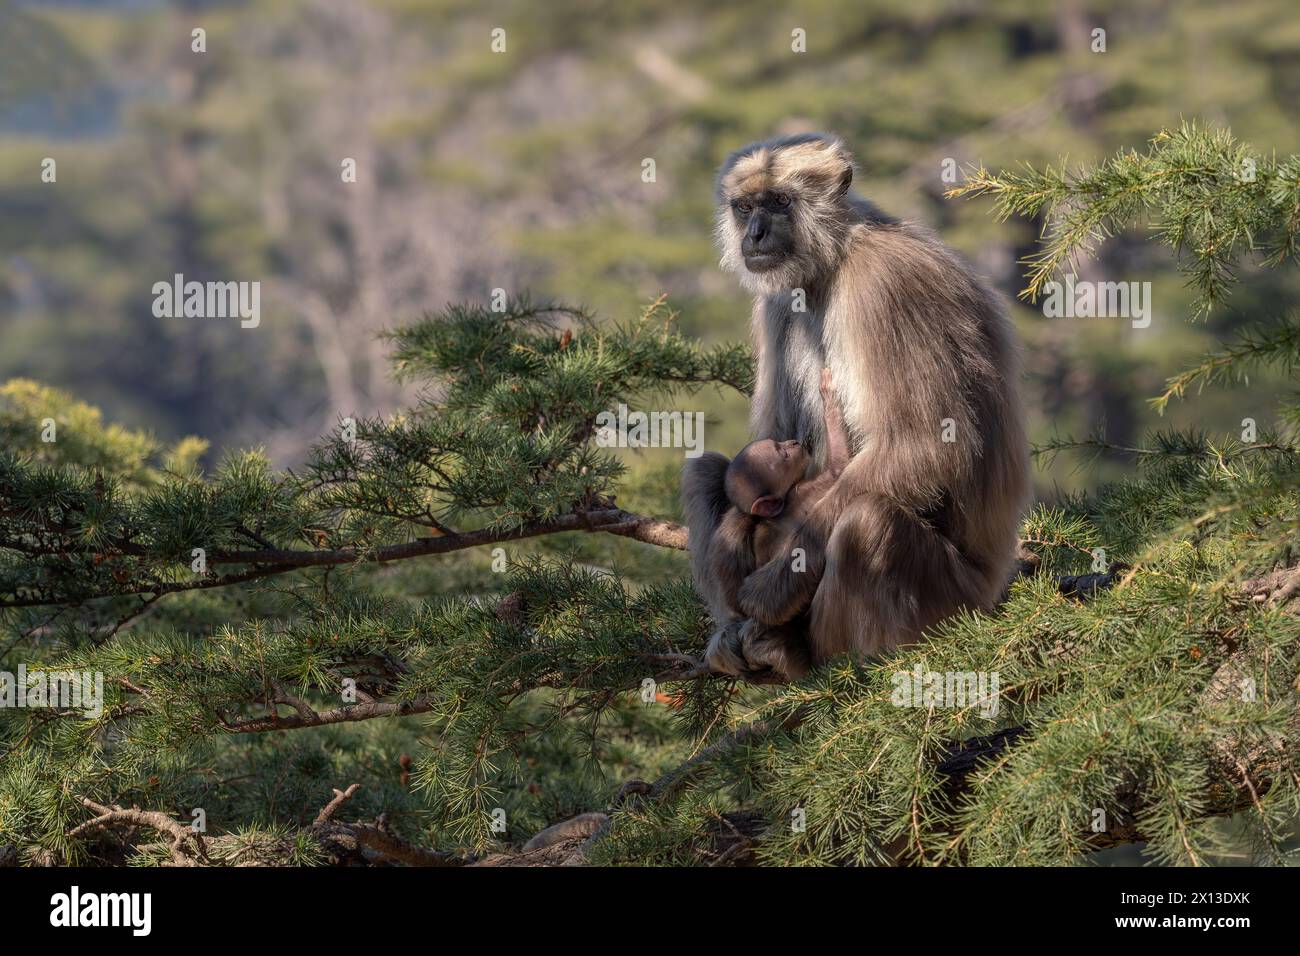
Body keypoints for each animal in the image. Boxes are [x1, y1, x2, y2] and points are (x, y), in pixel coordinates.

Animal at [712, 369, 852, 616]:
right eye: (783, 454)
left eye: (780, 443)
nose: (794, 442)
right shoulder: (802, 490)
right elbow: (838, 467)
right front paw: (828, 397)